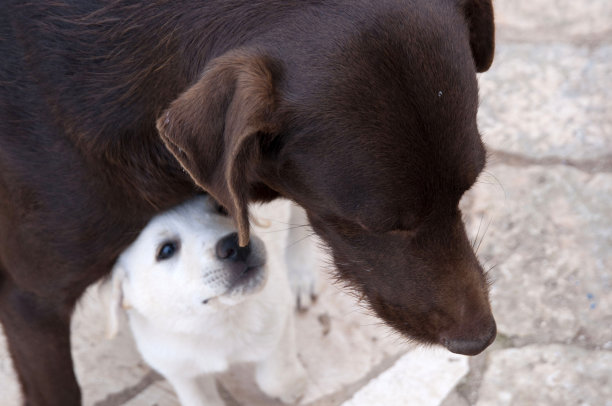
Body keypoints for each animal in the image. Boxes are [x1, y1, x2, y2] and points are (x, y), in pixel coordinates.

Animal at [103, 195, 310, 404]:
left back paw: (300, 275)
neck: (215, 321)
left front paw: (294, 389)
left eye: (223, 208)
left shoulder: (278, 314)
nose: (234, 245)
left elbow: (275, 379)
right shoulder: (179, 368)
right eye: (167, 250)